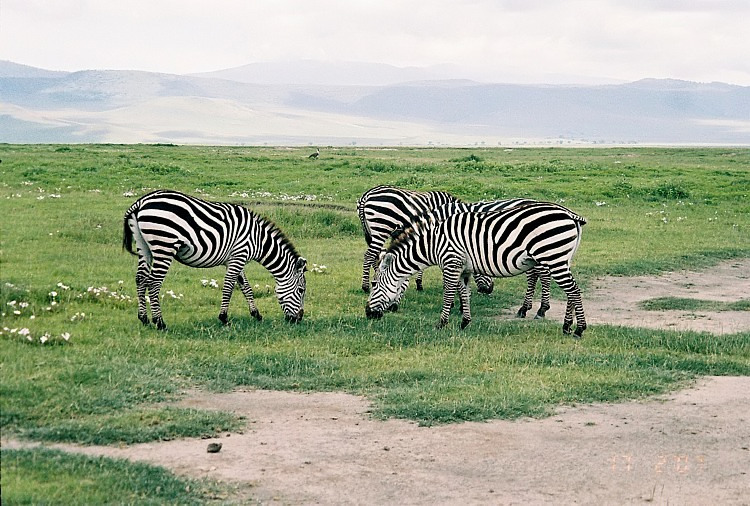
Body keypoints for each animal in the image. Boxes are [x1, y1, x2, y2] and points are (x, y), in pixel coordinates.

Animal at [123, 189, 308, 328]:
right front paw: (224, 318)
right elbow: (229, 288)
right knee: (154, 282)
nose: (299, 319)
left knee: (140, 278)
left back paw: (144, 319)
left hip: (144, 246)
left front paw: (256, 314)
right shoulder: (239, 256)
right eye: (301, 291)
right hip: (164, 245)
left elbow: (246, 287)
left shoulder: (235, 259)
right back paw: (160, 323)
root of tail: (140, 202)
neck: (259, 241)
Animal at [368, 201, 592, 336]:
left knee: (573, 291)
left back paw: (578, 329)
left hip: (552, 257)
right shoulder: (463, 268)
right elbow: (464, 293)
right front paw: (464, 321)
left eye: (375, 285)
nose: (368, 314)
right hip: (561, 259)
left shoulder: (451, 262)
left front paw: (441, 323)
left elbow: (448, 293)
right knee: (570, 292)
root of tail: (570, 215)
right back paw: (566, 326)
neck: (434, 242)